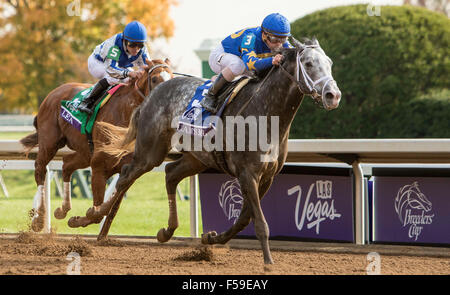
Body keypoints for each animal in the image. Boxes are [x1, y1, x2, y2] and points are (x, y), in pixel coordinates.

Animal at [18, 59, 172, 232]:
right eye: (154, 79)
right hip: (49, 143)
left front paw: (80, 218)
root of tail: (53, 93)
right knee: (40, 169)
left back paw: (62, 209)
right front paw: (81, 218)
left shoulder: (128, 172)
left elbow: (109, 208)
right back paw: (39, 219)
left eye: (172, 78)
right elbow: (98, 210)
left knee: (67, 165)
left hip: (85, 152)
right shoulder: (99, 166)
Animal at [95, 37, 342, 266]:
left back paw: (167, 230)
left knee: (170, 173)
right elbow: (260, 222)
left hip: (197, 158)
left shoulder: (267, 177)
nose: (333, 95)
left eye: (329, 63)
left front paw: (211, 238)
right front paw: (269, 263)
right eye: (308, 63)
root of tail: (151, 95)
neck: (266, 112)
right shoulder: (247, 173)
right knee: (126, 175)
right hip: (151, 151)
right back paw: (94, 215)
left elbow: (243, 219)